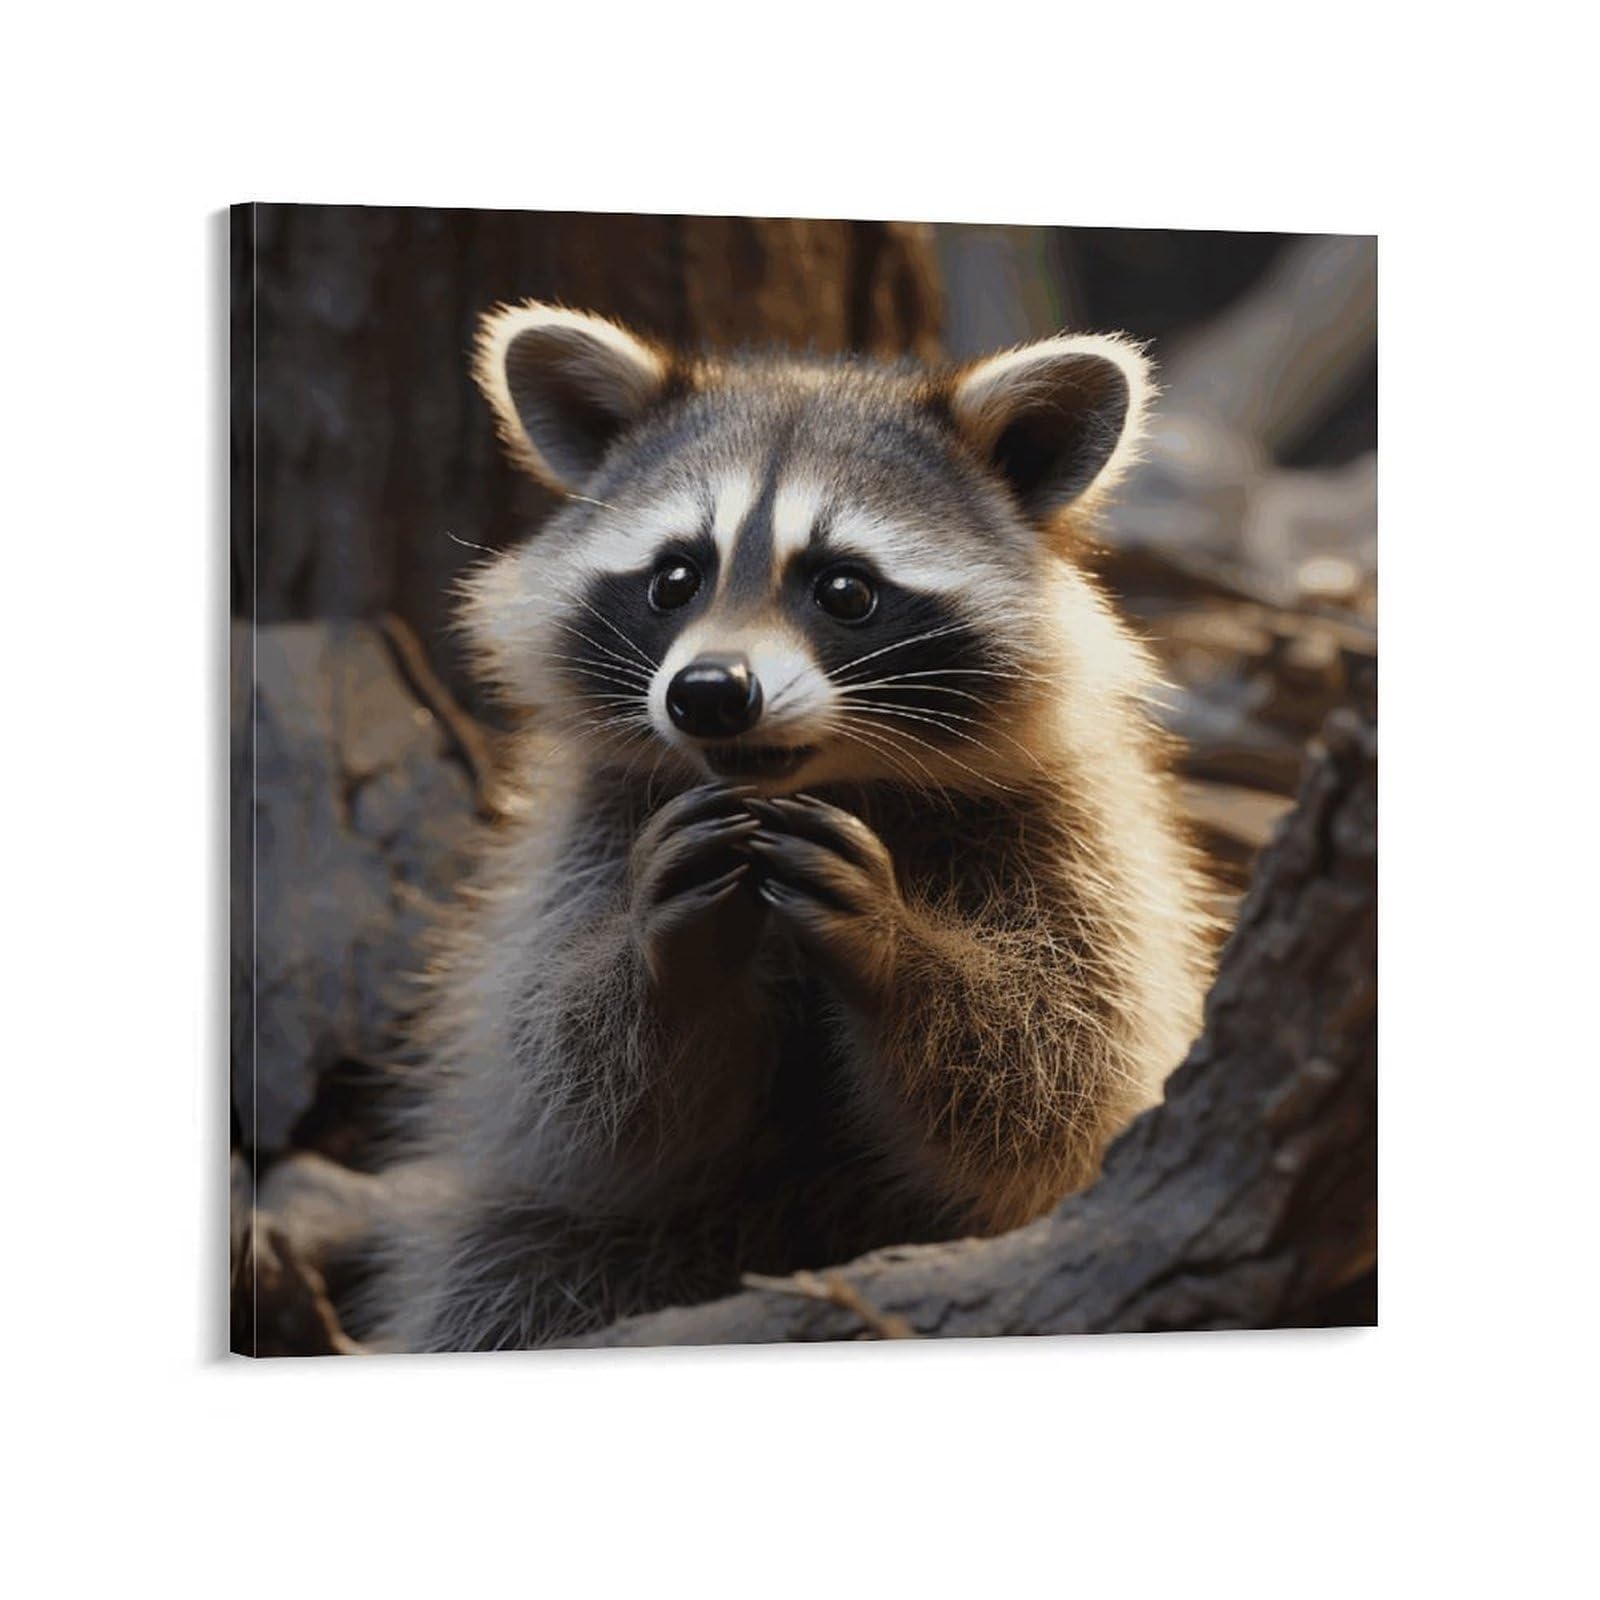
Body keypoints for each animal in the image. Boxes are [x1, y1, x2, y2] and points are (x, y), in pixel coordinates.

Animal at [372, 303, 1212, 1352]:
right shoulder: (593, 832)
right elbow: (567, 1073)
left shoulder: (1073, 829)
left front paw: (898, 948)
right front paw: (663, 955)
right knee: (509, 1273)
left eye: (845, 590)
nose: (709, 693)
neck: (822, 779)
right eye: (675, 579)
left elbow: (1061, 1063)